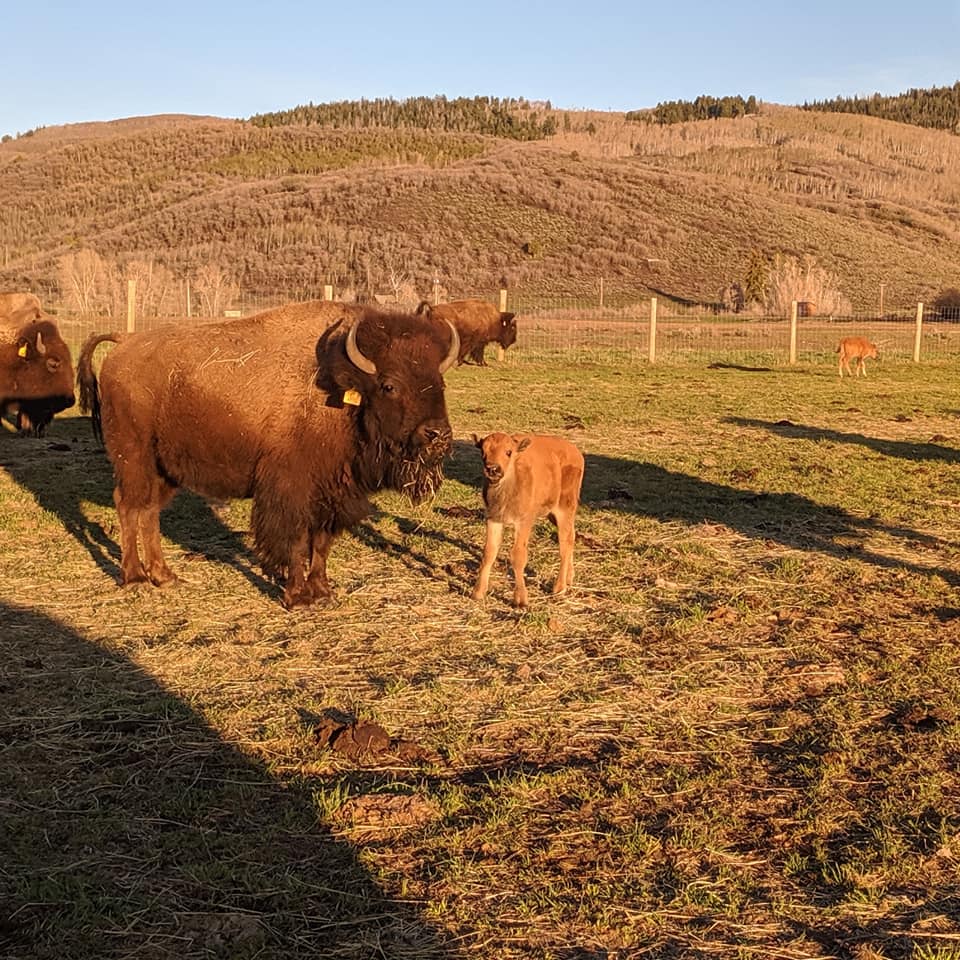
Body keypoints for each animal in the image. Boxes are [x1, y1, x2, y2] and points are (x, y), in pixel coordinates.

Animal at [78, 300, 460, 608]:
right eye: (389, 385)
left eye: (440, 383)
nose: (437, 435)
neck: (340, 390)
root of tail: (123, 344)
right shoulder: (291, 492)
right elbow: (296, 542)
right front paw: (298, 598)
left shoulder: (334, 495)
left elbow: (321, 544)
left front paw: (324, 593)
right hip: (134, 458)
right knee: (129, 507)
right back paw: (136, 579)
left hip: (165, 469)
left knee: (149, 512)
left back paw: (165, 576)